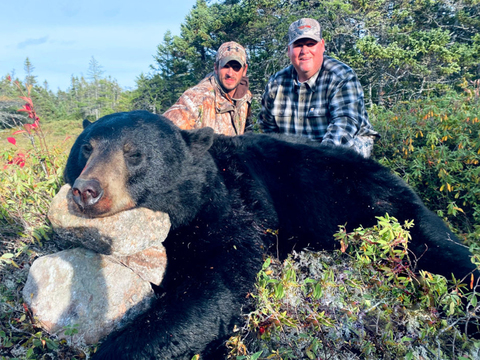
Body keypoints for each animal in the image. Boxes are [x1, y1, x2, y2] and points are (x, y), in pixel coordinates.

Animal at [63, 110, 476, 360]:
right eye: (86, 147)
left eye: (134, 153)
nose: (86, 190)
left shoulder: (229, 207)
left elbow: (212, 288)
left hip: (376, 205)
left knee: (439, 249)